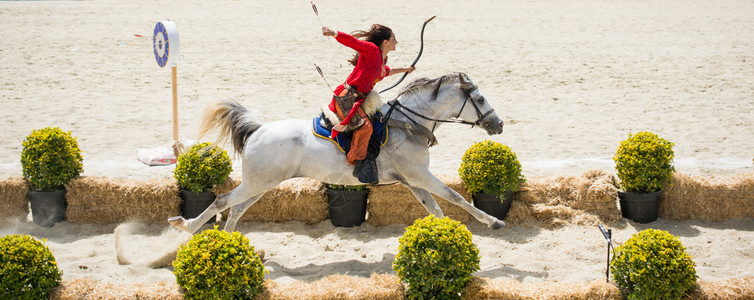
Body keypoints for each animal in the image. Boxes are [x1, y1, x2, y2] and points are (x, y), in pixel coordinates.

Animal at [169, 72, 506, 232]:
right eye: (479, 98)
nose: (499, 124)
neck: (408, 124)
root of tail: (259, 129)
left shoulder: (413, 180)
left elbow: (435, 208)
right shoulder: (421, 175)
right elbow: (456, 197)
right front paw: (492, 221)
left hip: (261, 185)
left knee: (236, 208)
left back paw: (228, 237)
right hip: (257, 183)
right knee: (222, 200)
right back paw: (188, 226)